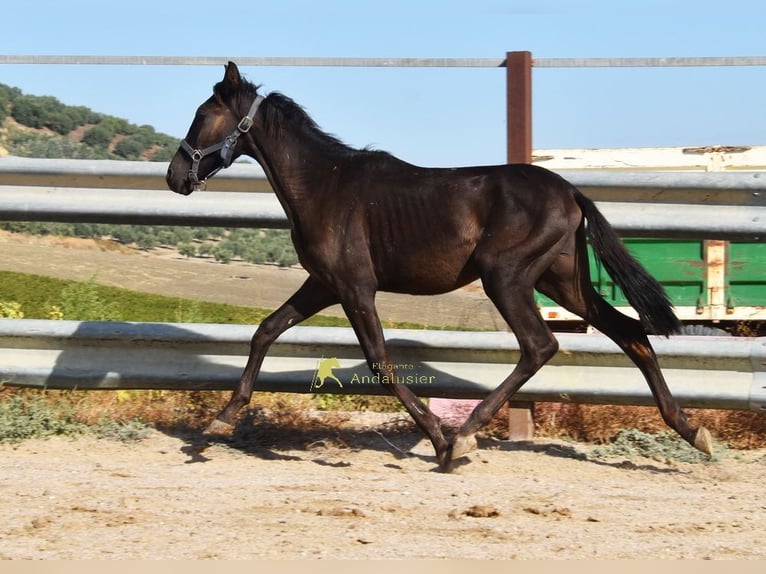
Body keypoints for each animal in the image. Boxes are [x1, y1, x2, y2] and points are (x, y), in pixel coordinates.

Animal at [166, 61, 713, 470]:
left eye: (201, 113)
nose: (175, 176)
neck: (324, 184)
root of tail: (571, 191)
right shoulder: (323, 283)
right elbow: (265, 330)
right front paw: (221, 420)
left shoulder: (354, 287)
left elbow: (380, 362)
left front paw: (439, 440)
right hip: (562, 281)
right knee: (630, 331)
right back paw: (692, 430)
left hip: (506, 276)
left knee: (541, 345)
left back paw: (466, 434)